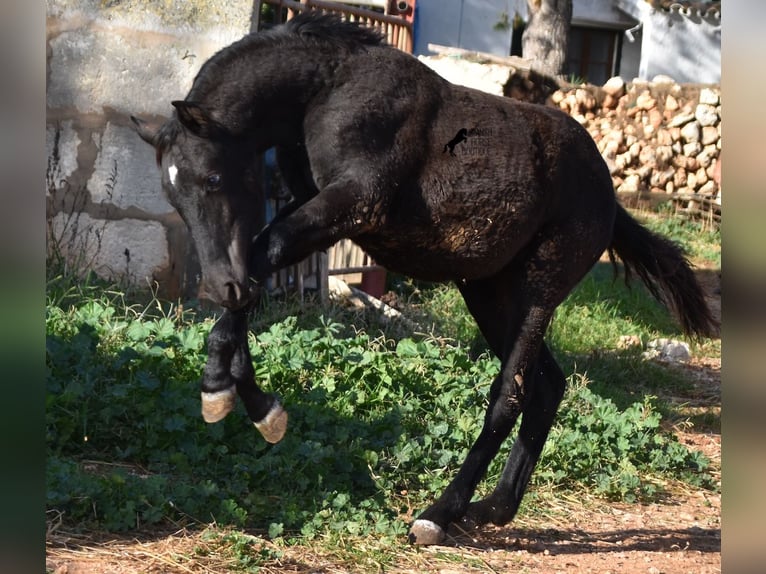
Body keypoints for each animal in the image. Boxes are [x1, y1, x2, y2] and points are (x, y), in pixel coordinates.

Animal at [134, 12, 720, 544]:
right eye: (173, 195)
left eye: (213, 178)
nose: (218, 285)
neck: (329, 89)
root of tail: (610, 198)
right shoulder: (316, 212)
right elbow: (260, 263)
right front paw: (247, 400)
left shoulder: (352, 206)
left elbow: (262, 251)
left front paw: (229, 391)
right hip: (487, 290)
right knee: (548, 385)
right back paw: (493, 510)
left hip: (539, 289)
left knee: (511, 393)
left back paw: (439, 514)